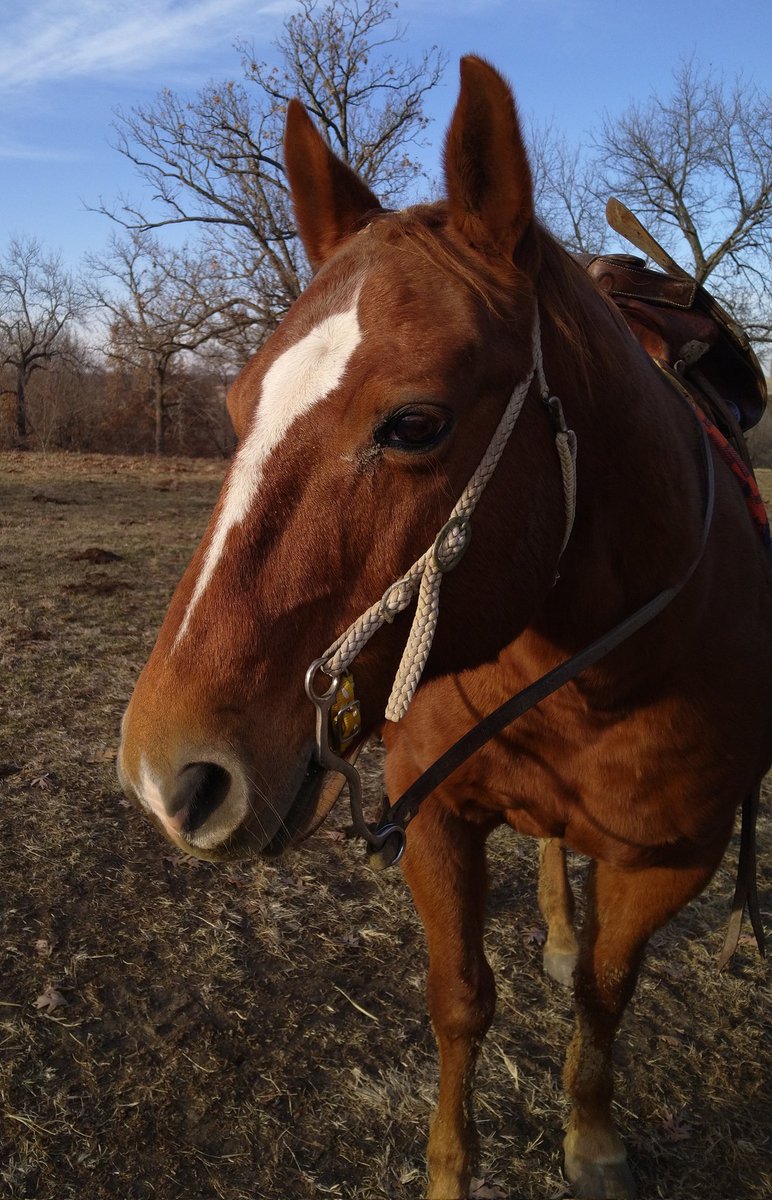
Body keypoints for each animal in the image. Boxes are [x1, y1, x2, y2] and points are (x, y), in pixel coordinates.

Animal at [118, 56, 772, 1200]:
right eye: (238, 407)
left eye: (414, 423)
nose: (171, 774)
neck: (591, 672)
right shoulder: (434, 817)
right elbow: (461, 1001)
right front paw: (448, 1172)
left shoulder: (673, 860)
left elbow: (607, 992)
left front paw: (591, 1137)